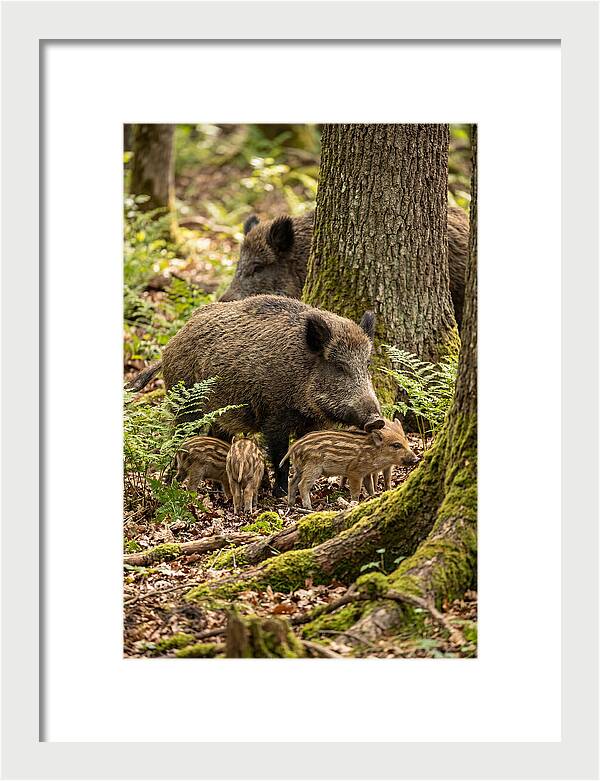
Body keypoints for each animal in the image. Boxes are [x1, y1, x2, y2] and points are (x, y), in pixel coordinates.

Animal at [129, 295, 384, 495]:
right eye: (339, 367)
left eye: (367, 364)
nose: (377, 420)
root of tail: (171, 344)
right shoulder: (274, 416)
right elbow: (280, 456)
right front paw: (280, 493)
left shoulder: (313, 423)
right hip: (186, 404)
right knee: (179, 437)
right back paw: (169, 483)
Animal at [281, 419, 419, 510]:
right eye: (396, 445)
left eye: (406, 441)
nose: (416, 459)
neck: (373, 452)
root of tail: (294, 446)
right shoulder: (354, 472)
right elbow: (356, 490)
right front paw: (354, 503)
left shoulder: (366, 473)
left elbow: (369, 486)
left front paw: (373, 497)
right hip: (312, 467)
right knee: (302, 484)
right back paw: (308, 508)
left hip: (300, 468)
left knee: (292, 482)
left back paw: (291, 504)